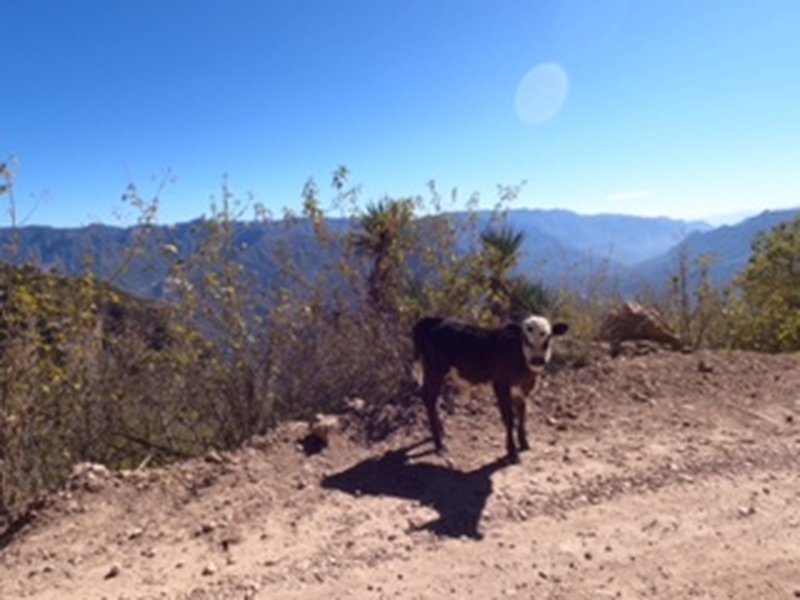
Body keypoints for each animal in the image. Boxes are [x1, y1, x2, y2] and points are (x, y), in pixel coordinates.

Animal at [412, 316, 568, 462]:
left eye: (548, 338)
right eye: (525, 339)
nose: (537, 360)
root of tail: (430, 320)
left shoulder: (522, 389)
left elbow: (522, 415)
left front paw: (524, 443)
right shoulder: (500, 384)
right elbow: (509, 417)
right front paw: (512, 452)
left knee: (428, 397)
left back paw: (441, 433)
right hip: (435, 370)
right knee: (430, 399)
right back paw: (440, 444)